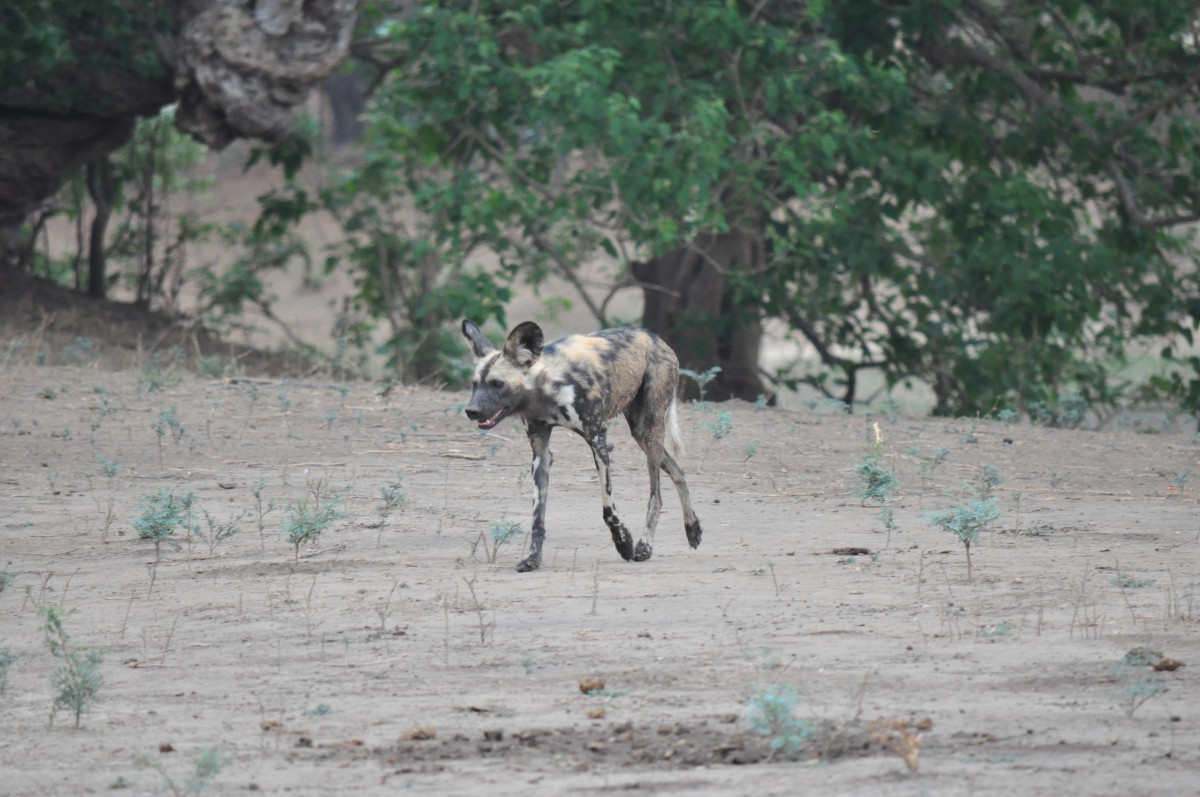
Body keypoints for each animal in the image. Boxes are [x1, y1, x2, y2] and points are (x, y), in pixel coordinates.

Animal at [458, 319, 700, 573]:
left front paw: (624, 543)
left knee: (656, 495)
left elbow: (608, 509)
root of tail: (655, 337)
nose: (471, 411)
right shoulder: (540, 453)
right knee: (678, 471)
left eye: (497, 384)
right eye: (475, 385)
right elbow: (537, 516)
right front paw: (533, 557)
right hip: (641, 433)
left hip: (651, 430)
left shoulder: (597, 439)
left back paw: (645, 545)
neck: (546, 390)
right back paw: (693, 529)